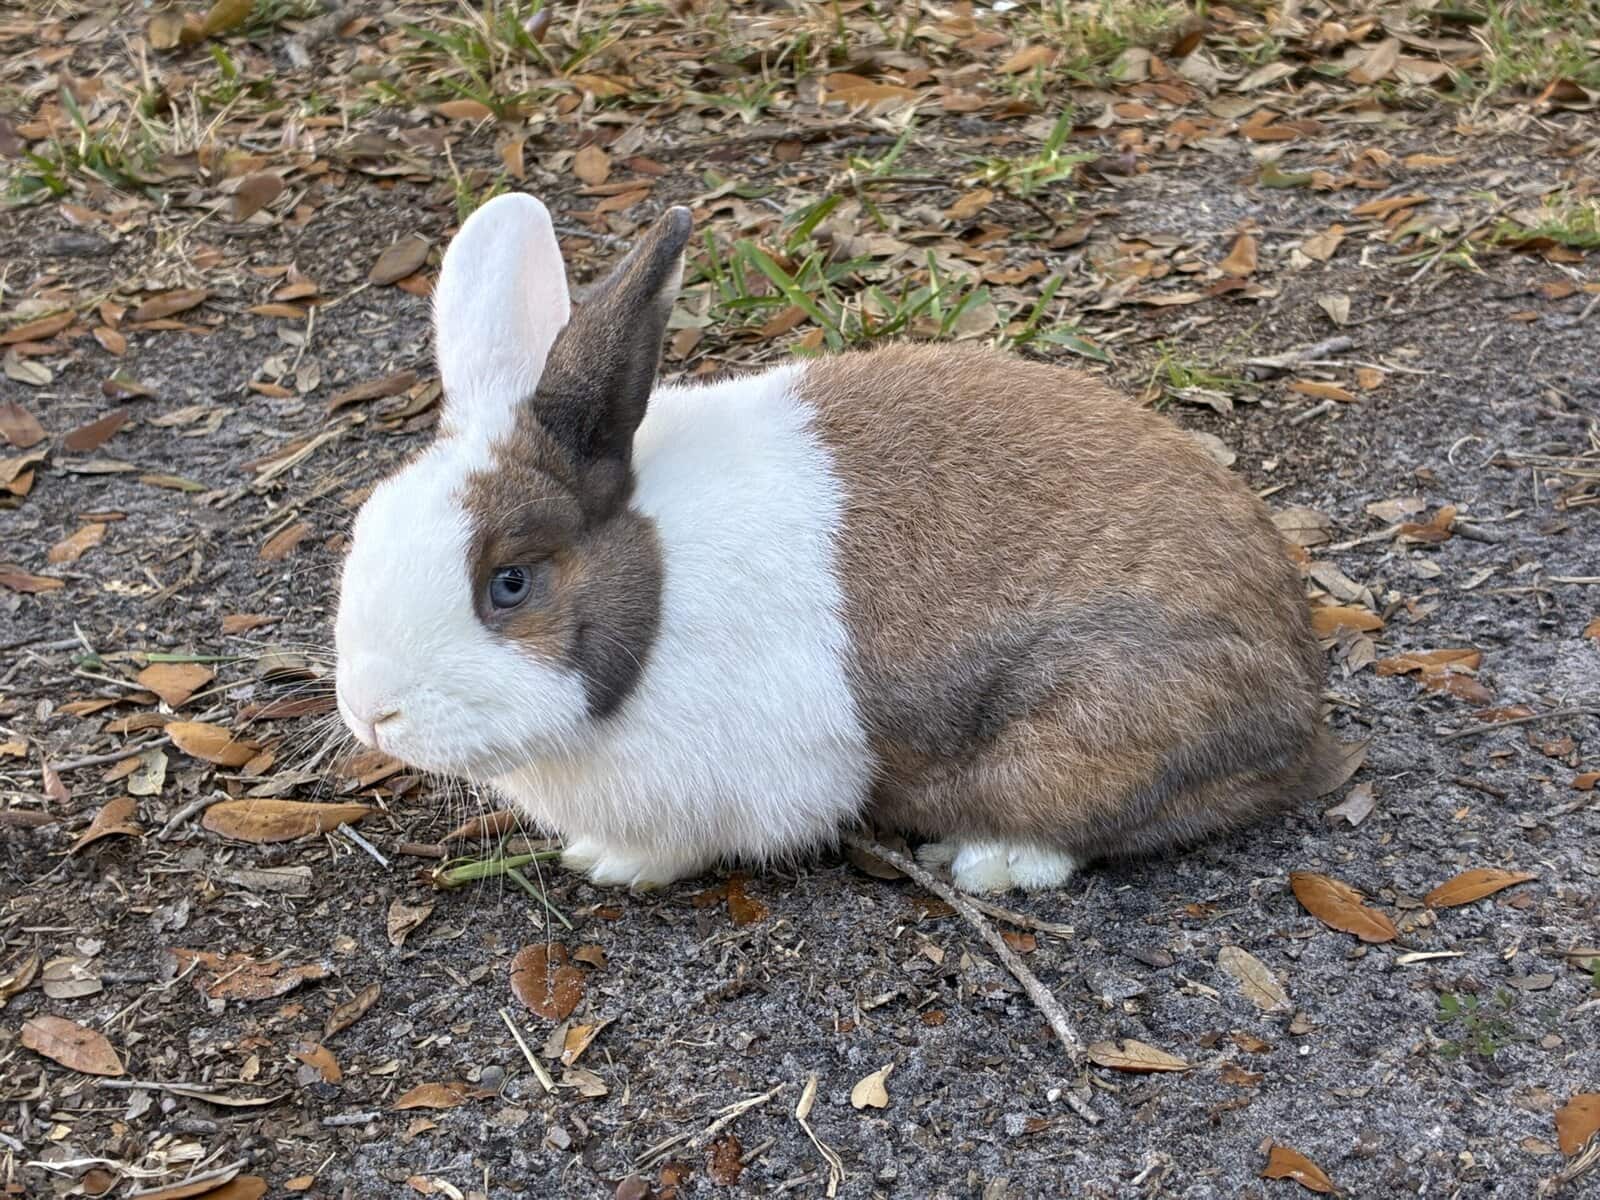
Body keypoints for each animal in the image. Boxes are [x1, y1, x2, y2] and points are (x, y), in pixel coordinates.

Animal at [334, 192, 1338, 895]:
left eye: (509, 584)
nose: (370, 713)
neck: (659, 592)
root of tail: (1299, 685)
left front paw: (614, 865)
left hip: (1086, 736)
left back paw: (990, 863)